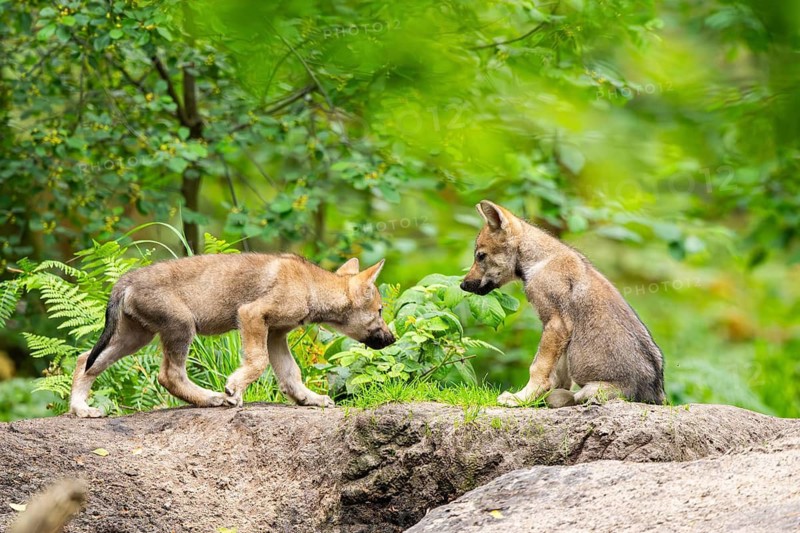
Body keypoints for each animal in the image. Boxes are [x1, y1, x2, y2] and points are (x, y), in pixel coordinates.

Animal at [69, 254, 395, 417]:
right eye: (380, 310)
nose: (392, 339)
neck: (311, 286)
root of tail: (125, 279)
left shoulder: (276, 334)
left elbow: (291, 374)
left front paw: (308, 399)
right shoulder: (251, 315)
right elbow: (258, 362)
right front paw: (233, 389)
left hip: (136, 337)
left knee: (85, 360)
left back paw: (81, 410)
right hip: (181, 326)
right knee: (169, 375)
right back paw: (212, 399)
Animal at [461, 200, 665, 407]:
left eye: (480, 256)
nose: (462, 285)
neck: (540, 261)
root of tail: (655, 397)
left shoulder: (556, 324)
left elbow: (538, 367)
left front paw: (521, 398)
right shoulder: (561, 334)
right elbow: (556, 374)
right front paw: (537, 398)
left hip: (591, 390)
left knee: (578, 396)